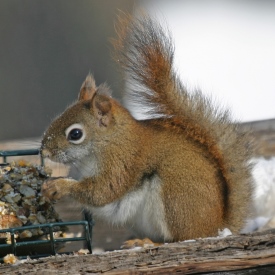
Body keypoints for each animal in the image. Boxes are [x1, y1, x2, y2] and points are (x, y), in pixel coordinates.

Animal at [40, 12, 254, 246]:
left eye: (75, 134)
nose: (45, 151)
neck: (109, 142)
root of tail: (217, 227)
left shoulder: (121, 162)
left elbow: (103, 190)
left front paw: (59, 186)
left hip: (175, 196)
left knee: (180, 238)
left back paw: (147, 243)